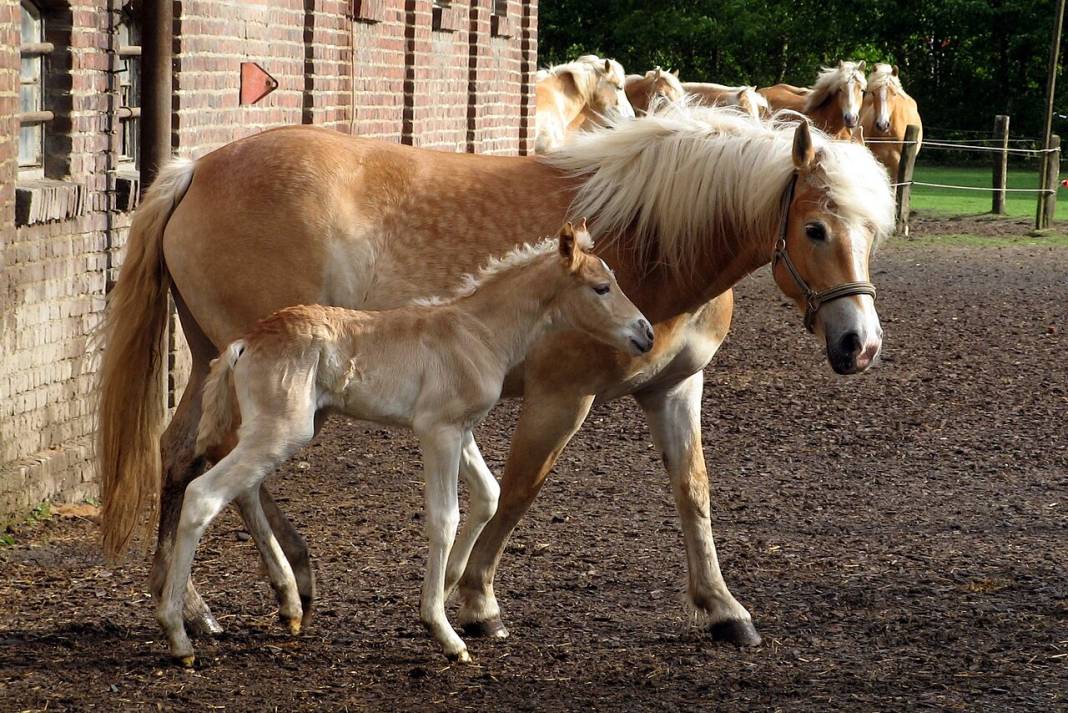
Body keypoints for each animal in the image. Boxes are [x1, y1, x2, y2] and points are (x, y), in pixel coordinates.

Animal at [158, 220, 653, 661]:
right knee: (204, 494)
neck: (476, 333)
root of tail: (245, 342)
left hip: (278, 430)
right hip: (283, 430)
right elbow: (444, 517)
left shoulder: (461, 430)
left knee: (241, 488)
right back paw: (179, 635)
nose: (645, 333)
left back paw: (287, 604)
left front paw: (452, 587)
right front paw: (443, 631)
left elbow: (489, 495)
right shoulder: (437, 431)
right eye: (601, 287)